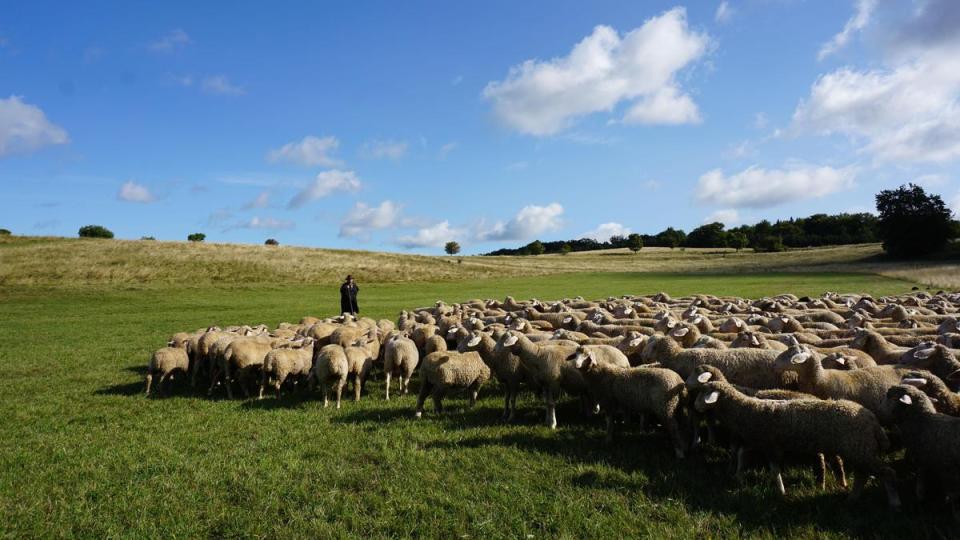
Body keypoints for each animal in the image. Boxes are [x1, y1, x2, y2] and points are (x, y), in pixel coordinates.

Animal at [688, 380, 900, 506]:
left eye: (704, 394)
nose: (696, 406)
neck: (748, 409)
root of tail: (872, 421)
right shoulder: (758, 440)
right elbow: (742, 454)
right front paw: (738, 476)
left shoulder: (771, 446)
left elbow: (775, 471)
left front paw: (781, 492)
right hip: (859, 450)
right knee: (863, 475)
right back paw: (852, 498)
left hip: (859, 449)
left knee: (886, 472)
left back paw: (893, 502)